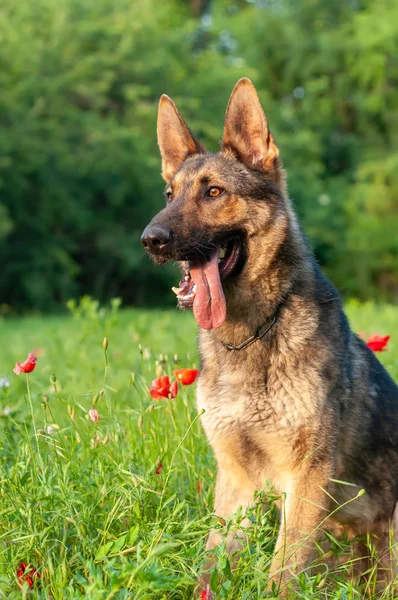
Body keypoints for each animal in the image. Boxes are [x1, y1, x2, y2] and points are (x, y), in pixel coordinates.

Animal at [141, 78, 398, 596]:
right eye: (169, 193)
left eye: (213, 191)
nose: (150, 239)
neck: (253, 333)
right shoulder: (235, 482)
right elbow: (211, 565)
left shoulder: (307, 478)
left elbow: (283, 571)